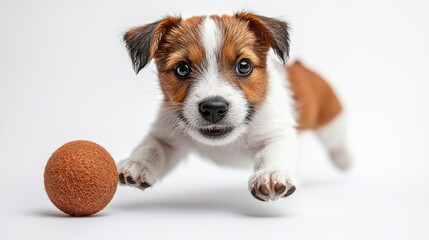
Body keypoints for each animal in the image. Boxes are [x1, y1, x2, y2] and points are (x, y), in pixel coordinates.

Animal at [118, 12, 352, 202]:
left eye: (244, 65)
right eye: (182, 69)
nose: (213, 108)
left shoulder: (278, 134)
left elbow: (274, 153)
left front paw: (270, 174)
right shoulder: (166, 136)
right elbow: (151, 148)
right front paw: (138, 164)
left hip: (331, 121)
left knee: (337, 140)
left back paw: (343, 159)